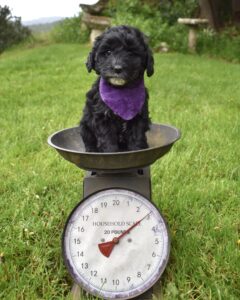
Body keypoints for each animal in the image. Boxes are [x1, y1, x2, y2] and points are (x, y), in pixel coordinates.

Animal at [79, 24, 154, 152]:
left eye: (131, 52)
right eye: (108, 52)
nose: (117, 68)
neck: (121, 91)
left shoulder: (139, 117)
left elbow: (137, 137)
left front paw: (137, 149)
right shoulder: (102, 117)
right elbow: (107, 139)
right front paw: (110, 152)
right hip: (85, 126)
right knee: (89, 141)